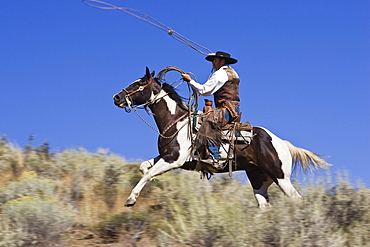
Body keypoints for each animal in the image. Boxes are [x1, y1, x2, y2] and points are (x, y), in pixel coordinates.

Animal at [112, 66, 330, 207]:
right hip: (259, 180)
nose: (117, 97)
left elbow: (147, 174)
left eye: (140, 84)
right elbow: (144, 168)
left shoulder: (174, 160)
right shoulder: (166, 157)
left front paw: (131, 199)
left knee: (296, 200)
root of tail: (281, 142)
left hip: (281, 177)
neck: (176, 122)